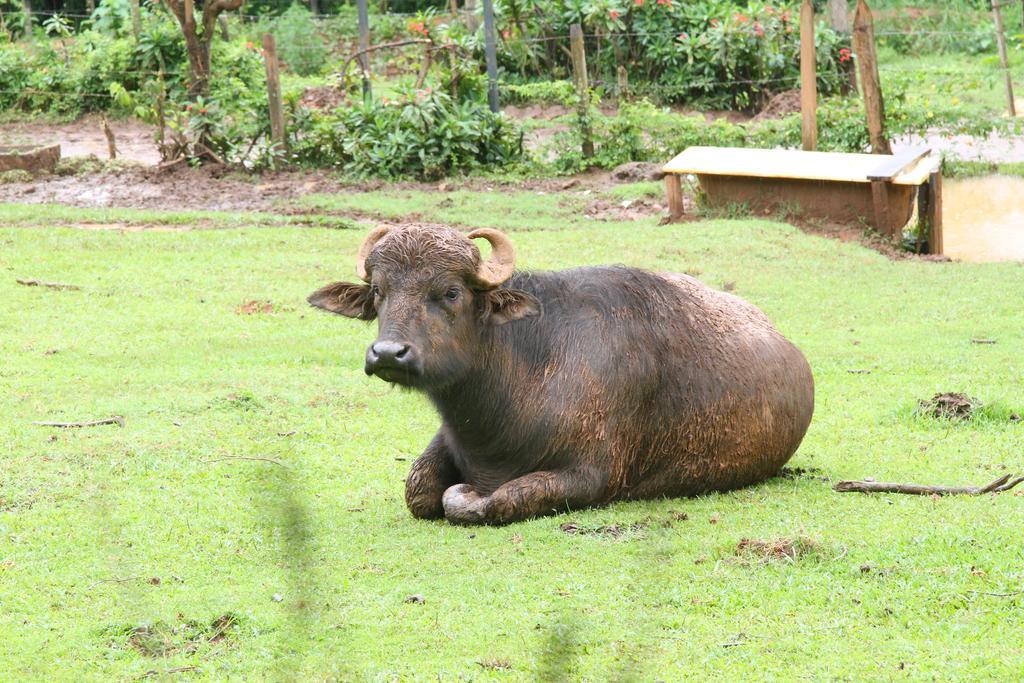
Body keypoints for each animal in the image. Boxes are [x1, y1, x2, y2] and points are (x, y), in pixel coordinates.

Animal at [311, 224, 815, 524]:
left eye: (451, 292)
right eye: (379, 291)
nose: (388, 354)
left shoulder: (592, 475)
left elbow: (498, 500)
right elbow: (417, 489)